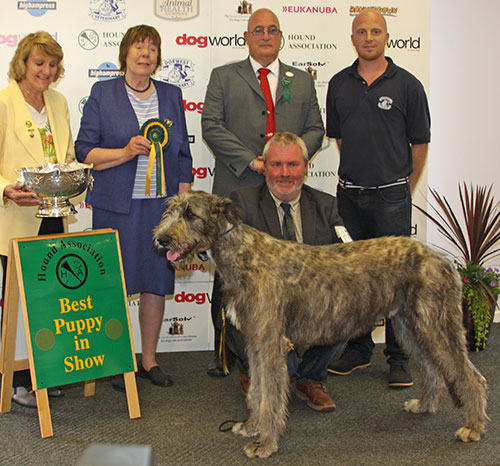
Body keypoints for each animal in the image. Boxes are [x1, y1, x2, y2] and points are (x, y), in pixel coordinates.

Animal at [152, 190, 488, 458]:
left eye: (191, 214)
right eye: (171, 210)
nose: (161, 239)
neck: (242, 253)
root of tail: (442, 259)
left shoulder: (270, 342)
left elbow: (270, 394)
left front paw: (266, 442)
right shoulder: (256, 342)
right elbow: (256, 390)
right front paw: (252, 426)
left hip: (434, 323)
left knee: (471, 376)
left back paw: (474, 426)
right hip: (411, 326)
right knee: (434, 369)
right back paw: (425, 405)